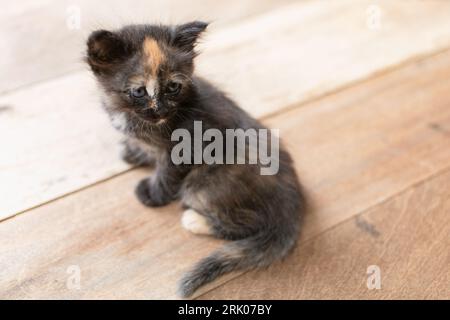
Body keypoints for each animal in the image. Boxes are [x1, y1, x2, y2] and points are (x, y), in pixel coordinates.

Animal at [87, 21, 306, 298]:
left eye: (173, 87)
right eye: (138, 91)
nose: (160, 110)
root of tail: (292, 205)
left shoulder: (182, 149)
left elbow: (166, 176)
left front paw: (152, 194)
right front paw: (134, 152)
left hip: (203, 186)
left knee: (246, 225)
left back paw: (195, 220)